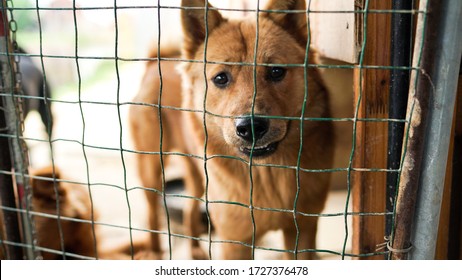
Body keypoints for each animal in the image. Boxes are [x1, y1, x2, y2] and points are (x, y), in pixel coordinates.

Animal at [129, 0, 332, 260]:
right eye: (221, 78)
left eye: (276, 71)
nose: (251, 127)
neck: (266, 176)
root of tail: (155, 64)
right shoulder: (235, 242)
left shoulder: (302, 231)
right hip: (151, 168)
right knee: (152, 213)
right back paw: (154, 251)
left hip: (196, 177)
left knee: (189, 209)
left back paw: (195, 250)